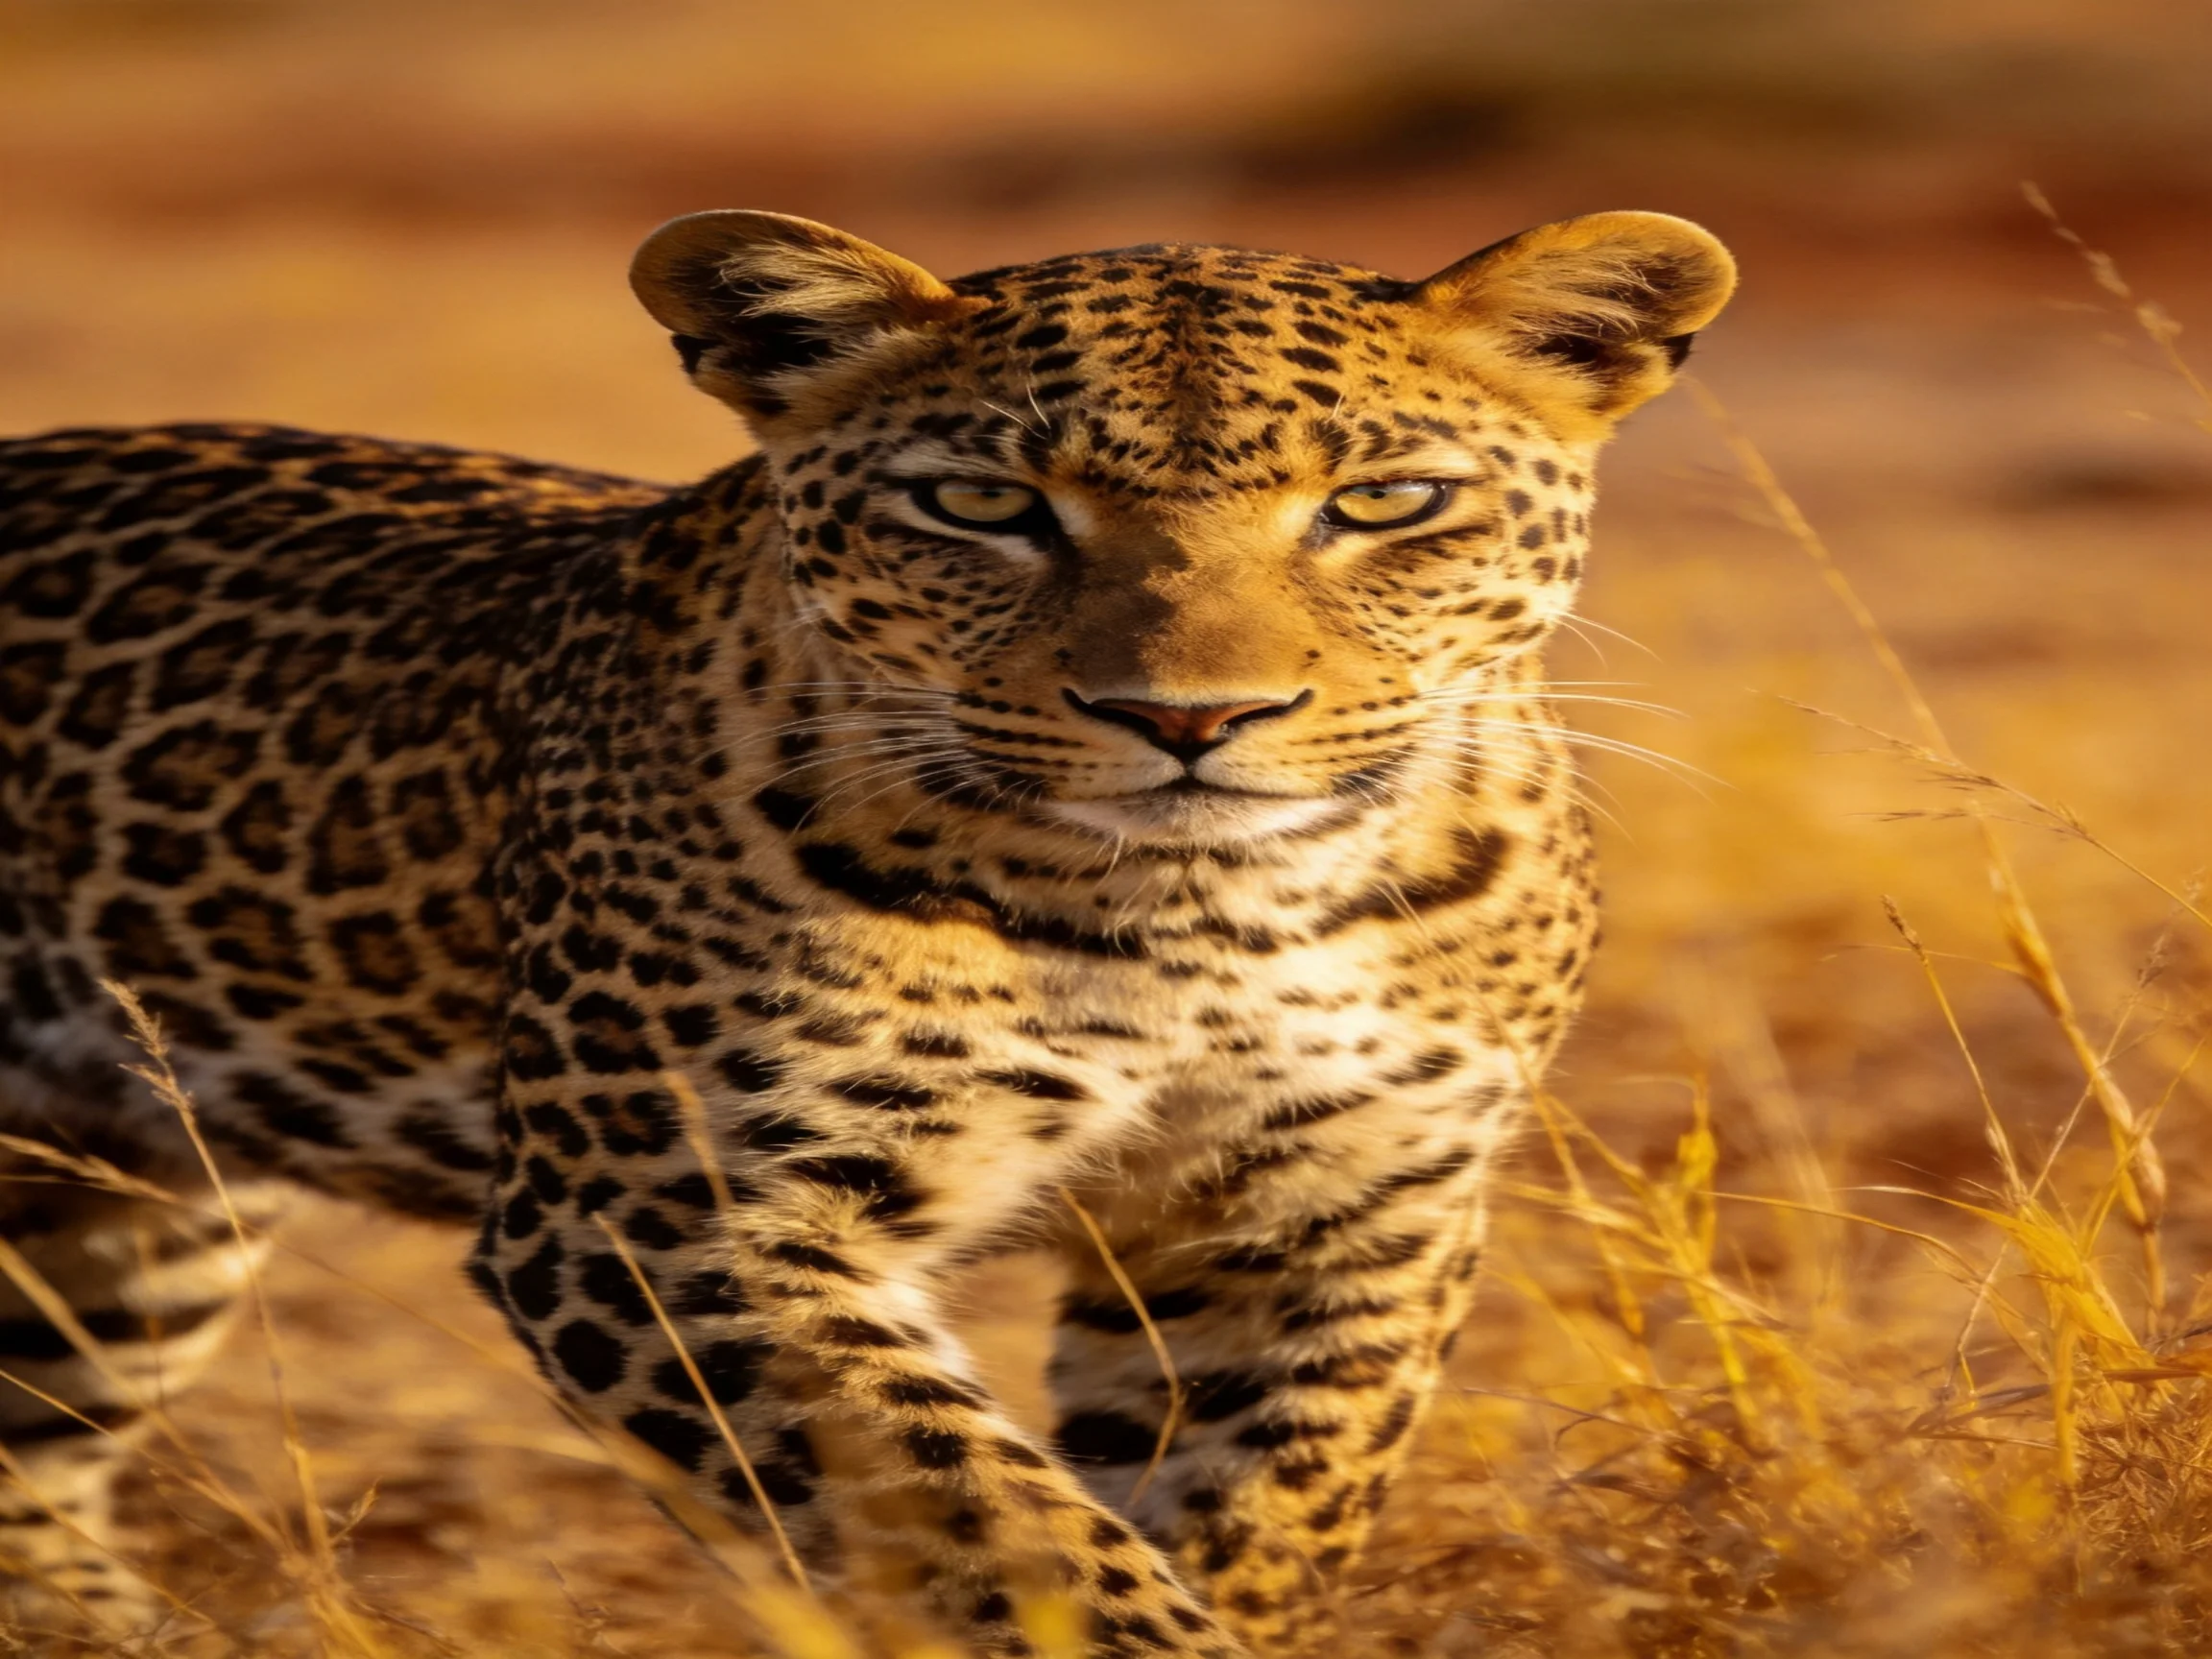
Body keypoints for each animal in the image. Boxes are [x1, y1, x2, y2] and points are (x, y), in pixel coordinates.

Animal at [0, 206, 1733, 1654]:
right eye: (980, 504)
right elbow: (990, 1525)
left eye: (1386, 502)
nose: (1189, 719)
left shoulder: (1329, 1221)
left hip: (114, 1212)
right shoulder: (669, 1217)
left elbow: (1251, 1516)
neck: (1198, 924)